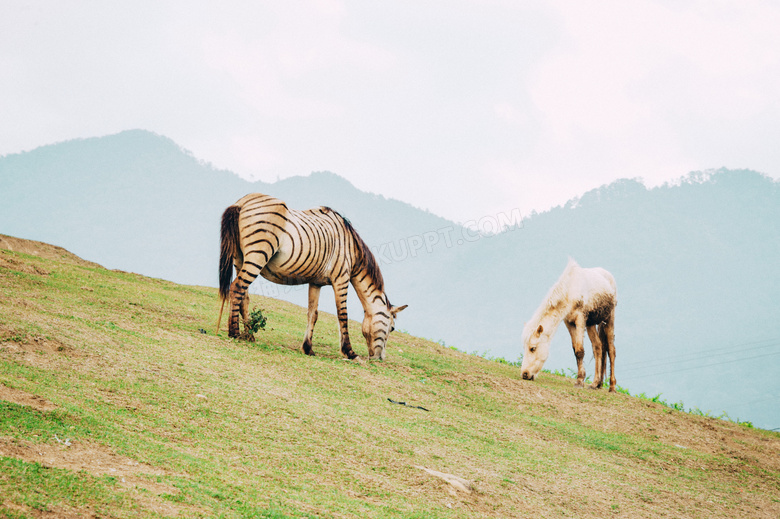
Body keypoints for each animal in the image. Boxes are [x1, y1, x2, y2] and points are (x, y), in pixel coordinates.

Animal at [216, 193, 406, 360]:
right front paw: (349, 352)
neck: (351, 248)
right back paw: (234, 332)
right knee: (237, 288)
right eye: (392, 328)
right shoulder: (341, 279)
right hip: (258, 254)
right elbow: (342, 315)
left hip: (239, 258)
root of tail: (242, 202)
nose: (379, 359)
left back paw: (248, 335)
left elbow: (312, 314)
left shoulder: (316, 283)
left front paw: (308, 348)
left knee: (244, 295)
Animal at [520, 262, 620, 392]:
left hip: (609, 319)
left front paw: (579, 381)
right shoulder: (569, 322)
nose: (524, 374)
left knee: (611, 351)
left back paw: (612, 387)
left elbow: (580, 350)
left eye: (532, 348)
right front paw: (581, 379)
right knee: (598, 347)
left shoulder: (580, 319)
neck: (570, 291)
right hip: (591, 324)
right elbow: (575, 349)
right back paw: (595, 383)